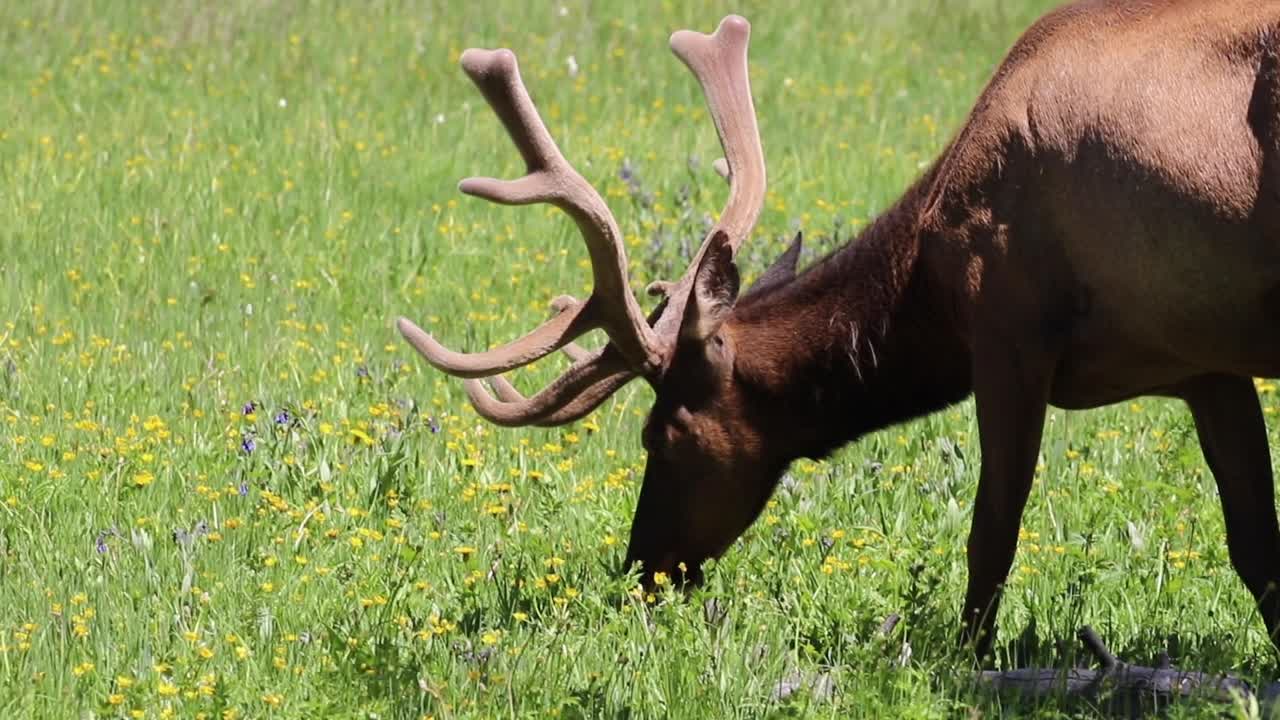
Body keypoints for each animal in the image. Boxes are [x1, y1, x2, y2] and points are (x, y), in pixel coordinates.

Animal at [399, 2, 1280, 658]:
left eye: (660, 435)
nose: (640, 569)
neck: (929, 283)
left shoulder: (1009, 334)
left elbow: (990, 535)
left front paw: (967, 661)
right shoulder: (1203, 363)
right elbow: (1255, 546)